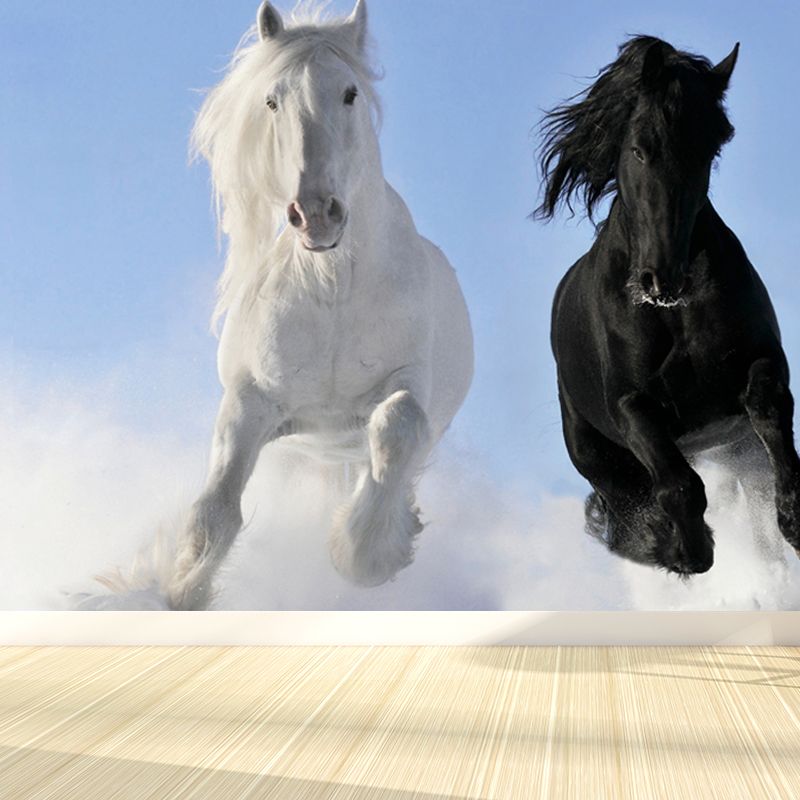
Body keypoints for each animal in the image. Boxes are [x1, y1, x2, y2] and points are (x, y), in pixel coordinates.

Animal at [135, 0, 475, 610]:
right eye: (273, 100)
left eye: (350, 93)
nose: (316, 213)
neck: (332, 290)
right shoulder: (250, 402)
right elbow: (214, 512)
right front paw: (181, 594)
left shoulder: (408, 383)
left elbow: (398, 425)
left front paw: (365, 553)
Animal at [536, 36, 800, 576]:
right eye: (640, 148)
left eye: (709, 150)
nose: (662, 278)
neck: (673, 313)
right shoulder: (632, 405)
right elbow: (678, 488)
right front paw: (687, 549)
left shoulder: (762, 361)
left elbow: (769, 409)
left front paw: (795, 519)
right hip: (601, 459)